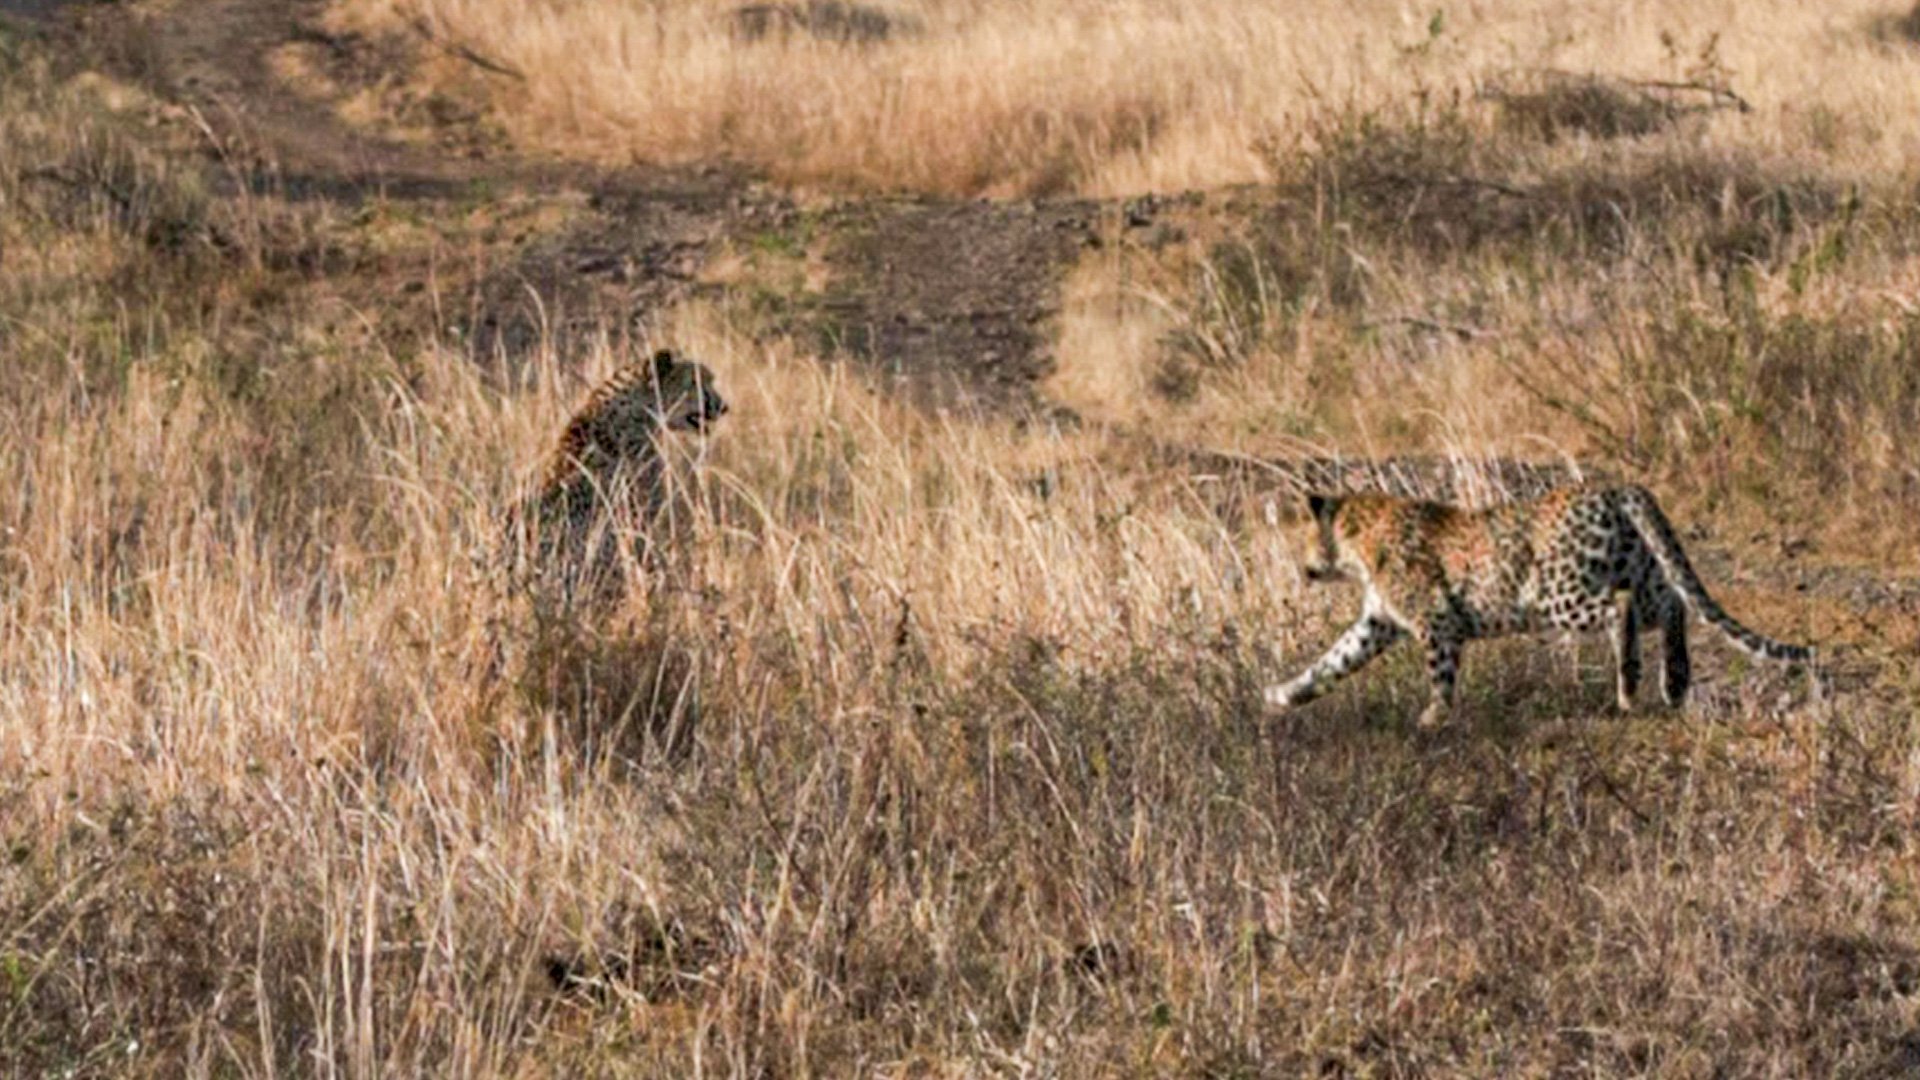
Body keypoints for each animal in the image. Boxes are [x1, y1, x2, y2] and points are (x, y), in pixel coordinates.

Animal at [1265, 484, 1814, 728]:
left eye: (1306, 536)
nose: (1304, 567)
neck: (1358, 541)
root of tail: (1620, 488)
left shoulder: (1436, 621)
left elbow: (1439, 674)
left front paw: (1433, 717)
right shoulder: (1377, 622)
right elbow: (1331, 661)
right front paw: (1283, 694)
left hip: (1557, 592)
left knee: (1619, 609)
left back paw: (1629, 685)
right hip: (1640, 570)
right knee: (1673, 604)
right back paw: (1673, 683)